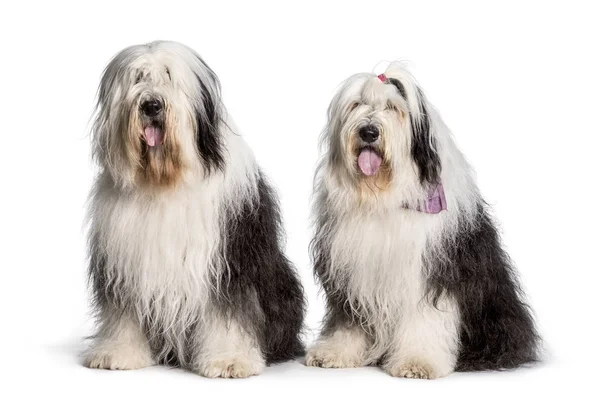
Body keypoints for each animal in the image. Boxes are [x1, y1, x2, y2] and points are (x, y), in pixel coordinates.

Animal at [84, 40, 304, 378]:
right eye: (137, 78)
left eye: (169, 76)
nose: (151, 105)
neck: (165, 181)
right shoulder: (124, 261)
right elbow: (123, 312)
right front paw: (119, 352)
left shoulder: (229, 260)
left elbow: (230, 311)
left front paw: (229, 359)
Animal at [308, 62, 540, 378]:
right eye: (357, 104)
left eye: (394, 108)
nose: (368, 131)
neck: (385, 198)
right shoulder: (350, 273)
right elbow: (349, 321)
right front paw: (335, 352)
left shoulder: (430, 272)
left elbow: (424, 318)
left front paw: (417, 361)